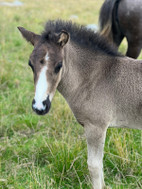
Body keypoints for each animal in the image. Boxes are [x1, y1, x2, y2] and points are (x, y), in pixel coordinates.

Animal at [18, 19, 141, 188]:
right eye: (30, 64)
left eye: (59, 65)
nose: (39, 106)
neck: (95, 78)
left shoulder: (96, 127)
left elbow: (94, 166)